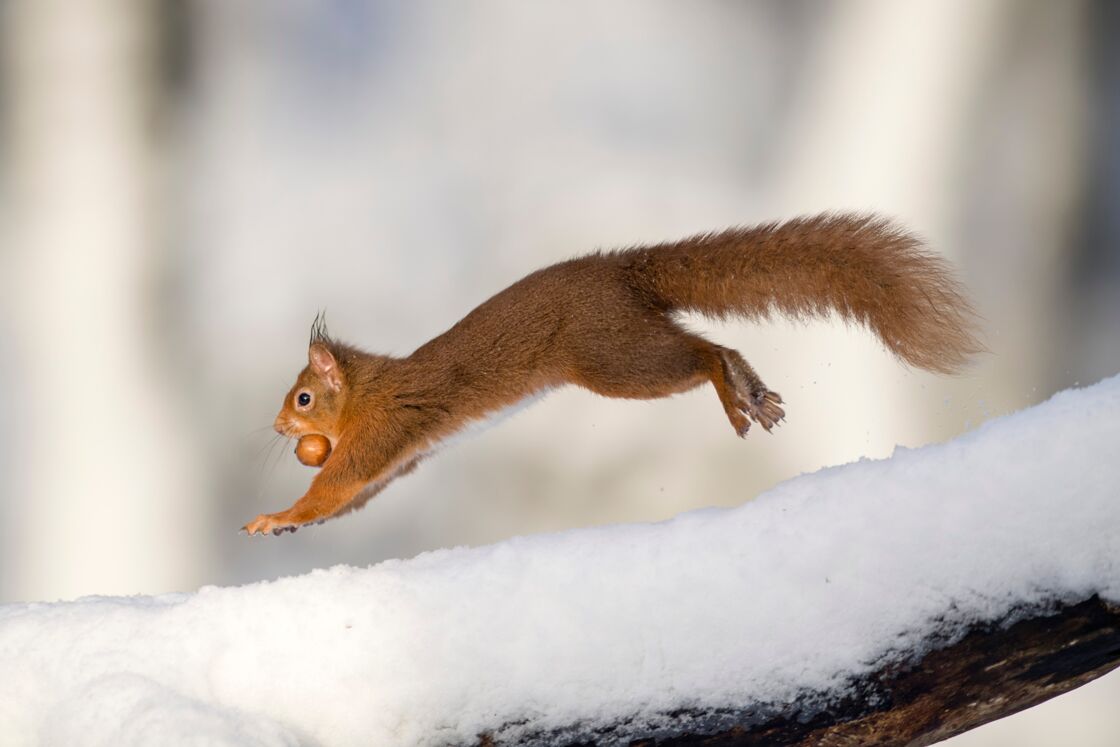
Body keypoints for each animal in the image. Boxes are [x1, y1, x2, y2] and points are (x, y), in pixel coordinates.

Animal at [243, 212, 981, 535]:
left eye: (302, 397)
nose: (276, 427)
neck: (369, 389)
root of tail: (622, 272)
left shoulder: (384, 428)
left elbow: (338, 483)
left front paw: (276, 514)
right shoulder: (401, 455)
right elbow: (358, 494)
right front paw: (292, 526)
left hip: (614, 359)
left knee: (702, 352)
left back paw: (732, 392)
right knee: (712, 346)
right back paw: (753, 393)